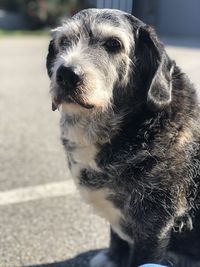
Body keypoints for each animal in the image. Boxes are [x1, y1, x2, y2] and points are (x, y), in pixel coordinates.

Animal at [46, 7, 200, 267]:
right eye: (64, 41)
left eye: (113, 44)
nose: (66, 74)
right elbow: (116, 234)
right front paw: (113, 257)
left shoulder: (154, 224)